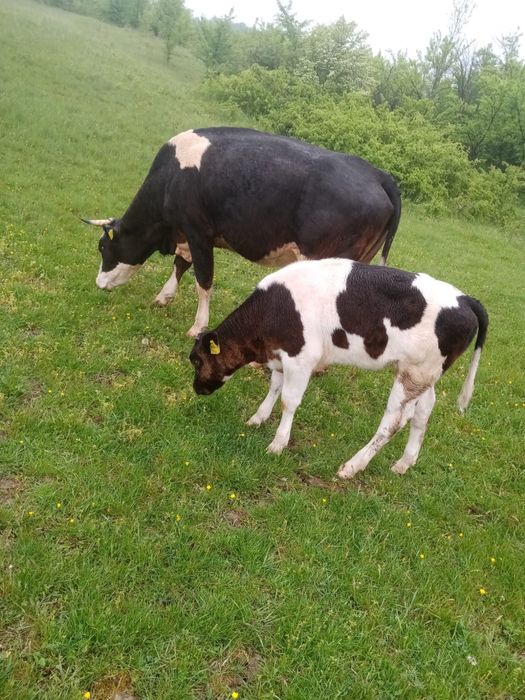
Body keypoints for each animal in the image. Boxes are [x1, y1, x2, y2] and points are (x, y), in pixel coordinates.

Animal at [83, 127, 401, 336]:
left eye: (103, 248)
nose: (98, 283)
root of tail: (378, 174)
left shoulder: (197, 231)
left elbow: (203, 280)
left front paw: (198, 327)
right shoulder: (186, 233)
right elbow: (180, 264)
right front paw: (164, 297)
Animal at [189, 258, 488, 478]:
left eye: (197, 361)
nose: (196, 389)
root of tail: (465, 299)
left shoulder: (301, 357)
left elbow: (288, 400)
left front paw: (278, 443)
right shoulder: (282, 354)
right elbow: (274, 386)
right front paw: (258, 418)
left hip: (414, 374)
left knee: (394, 422)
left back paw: (353, 466)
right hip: (423, 373)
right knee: (424, 411)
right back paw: (404, 463)